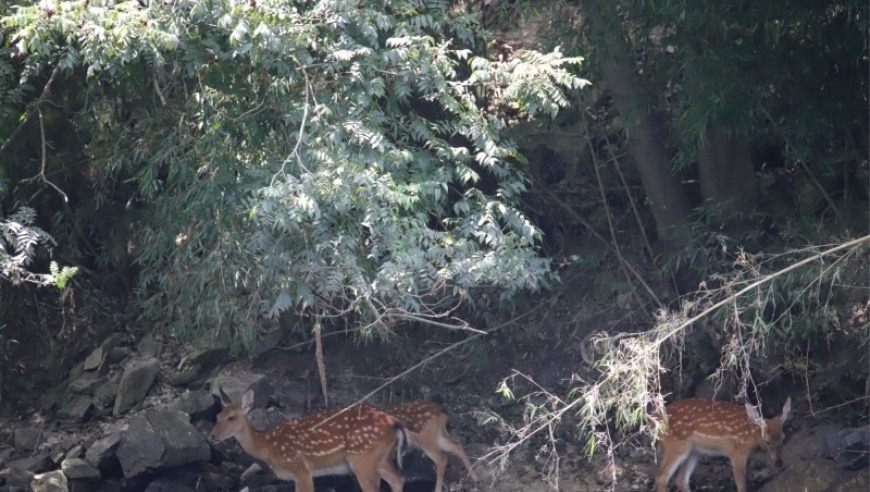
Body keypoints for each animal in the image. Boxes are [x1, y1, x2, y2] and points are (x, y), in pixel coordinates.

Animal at [209, 388, 408, 492]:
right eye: (217, 416)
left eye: (232, 418)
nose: (212, 436)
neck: (267, 446)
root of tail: (394, 423)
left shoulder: (300, 469)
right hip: (381, 458)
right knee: (398, 479)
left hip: (362, 458)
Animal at [656, 396, 792, 492]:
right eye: (767, 441)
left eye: (783, 439)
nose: (779, 463)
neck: (752, 435)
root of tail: (656, 419)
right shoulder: (737, 451)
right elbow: (741, 485)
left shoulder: (748, 456)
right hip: (676, 444)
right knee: (661, 476)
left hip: (694, 451)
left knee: (680, 479)